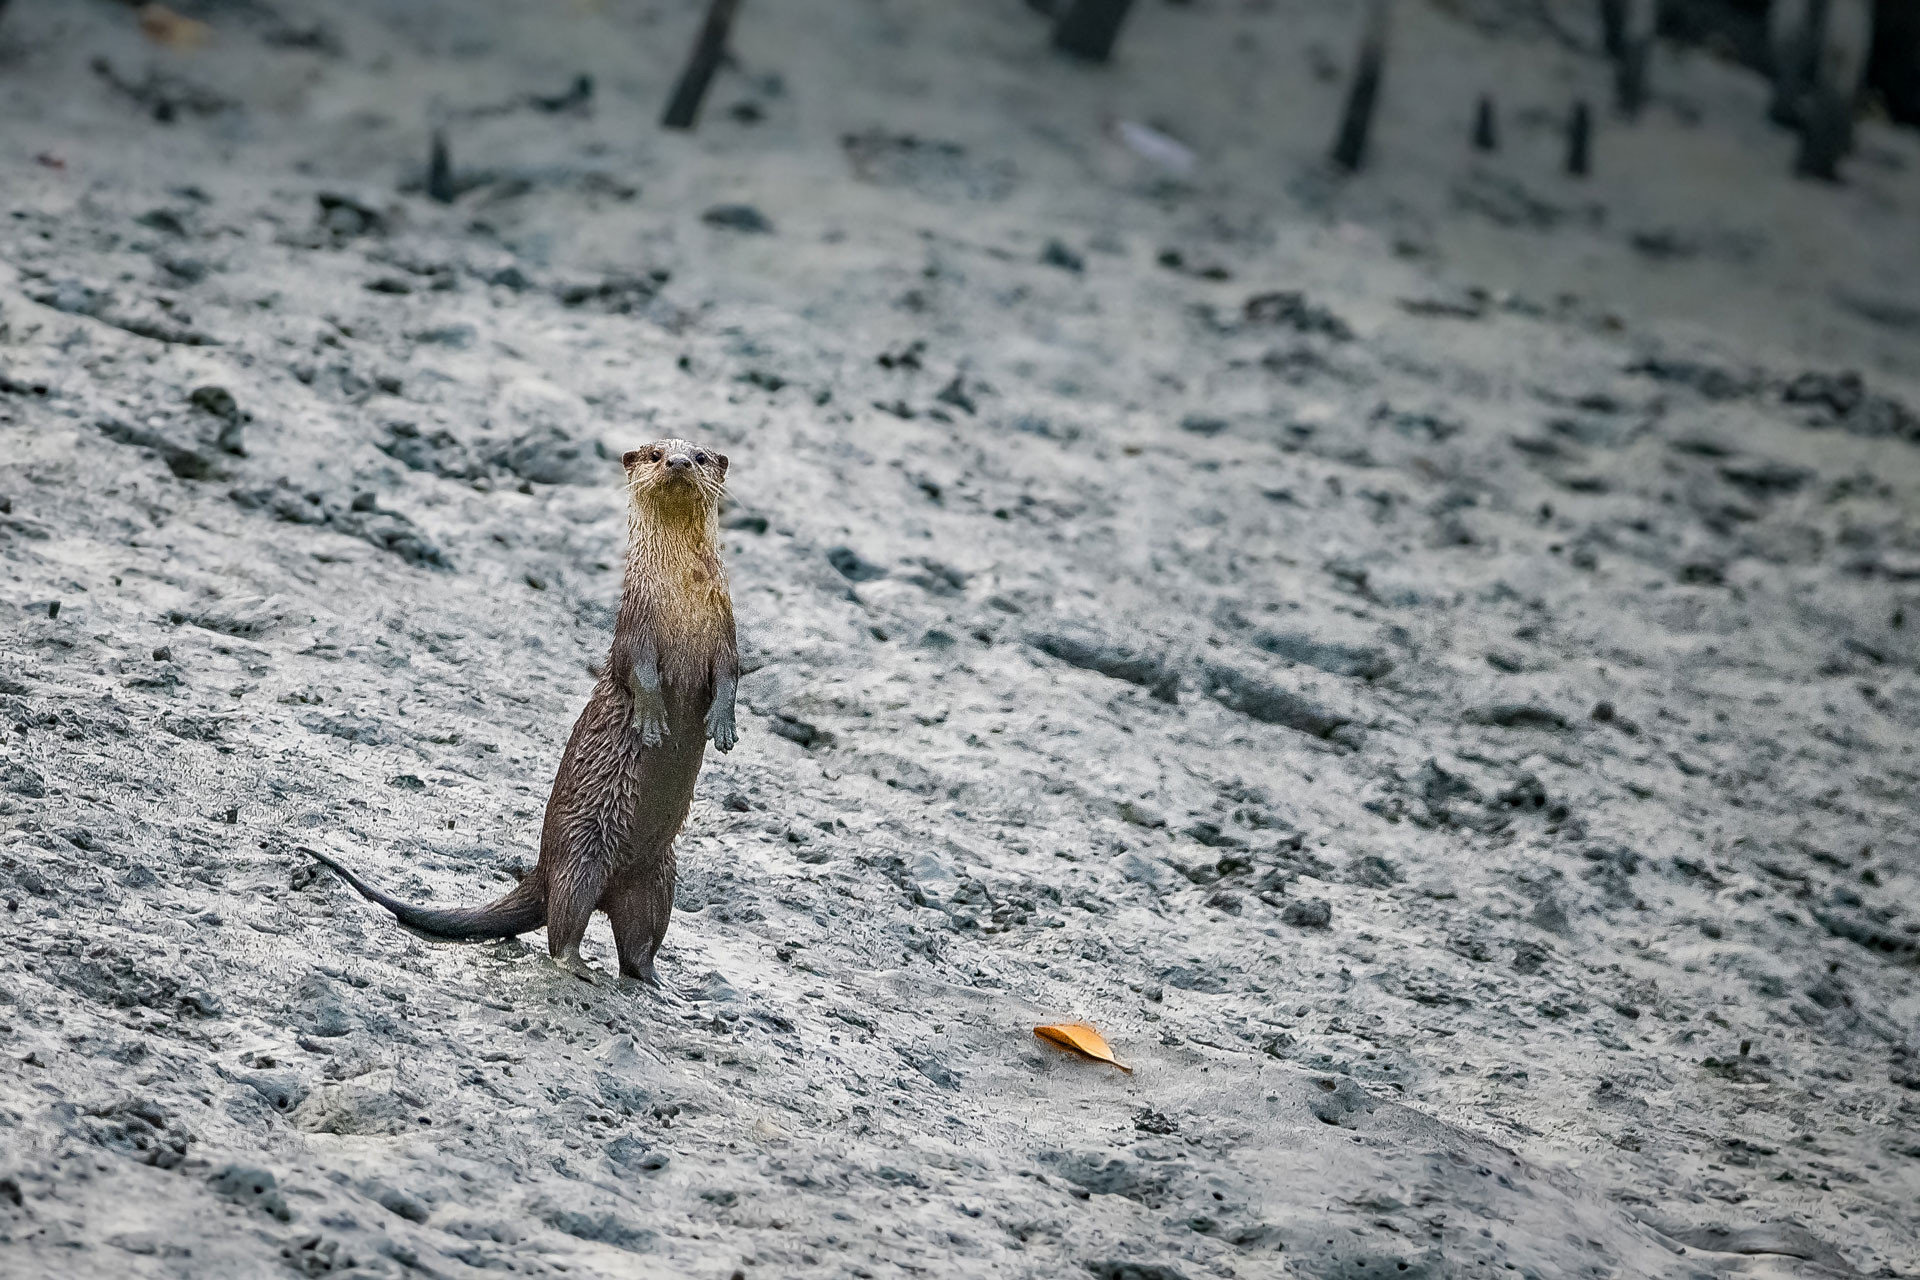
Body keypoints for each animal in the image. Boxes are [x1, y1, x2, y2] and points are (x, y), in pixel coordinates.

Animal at [305, 438, 738, 985]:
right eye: (658, 453)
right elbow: (636, 674)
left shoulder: (725, 631)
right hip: (580, 855)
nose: (679, 462)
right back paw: (576, 965)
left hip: (659, 877)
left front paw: (723, 727)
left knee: (639, 944)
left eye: (700, 457)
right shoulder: (634, 629)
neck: (680, 603)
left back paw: (660, 984)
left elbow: (730, 678)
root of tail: (542, 869)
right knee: (564, 922)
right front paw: (654, 720)